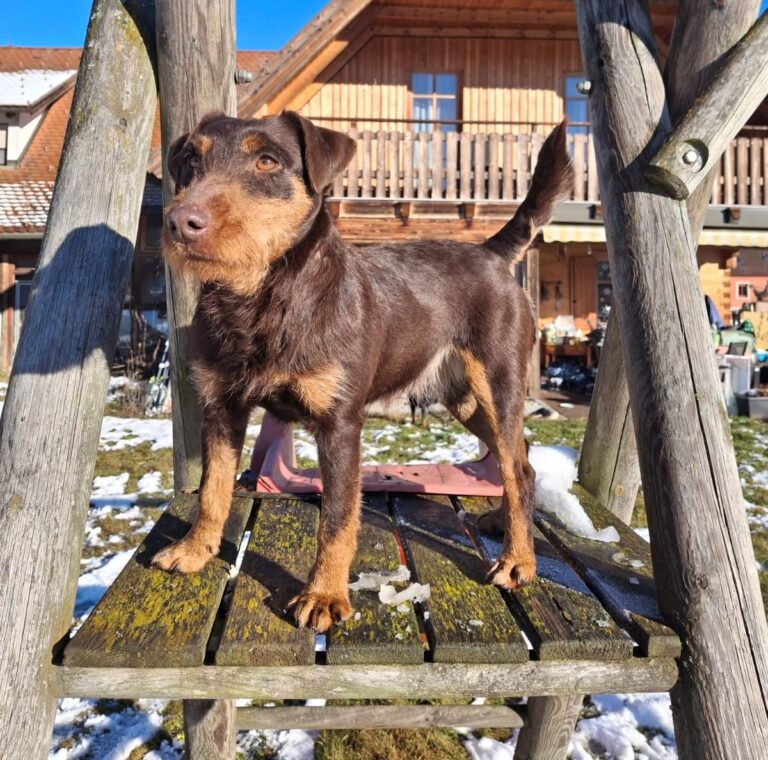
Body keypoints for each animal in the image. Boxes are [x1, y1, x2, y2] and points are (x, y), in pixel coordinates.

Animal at [153, 111, 574, 632]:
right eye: (191, 160)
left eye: (267, 161)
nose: (179, 222)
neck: (262, 299)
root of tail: (491, 253)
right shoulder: (221, 408)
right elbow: (212, 490)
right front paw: (194, 549)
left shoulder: (340, 425)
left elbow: (336, 518)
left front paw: (324, 594)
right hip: (464, 399)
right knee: (519, 458)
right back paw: (503, 521)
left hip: (500, 384)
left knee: (516, 468)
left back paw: (518, 560)